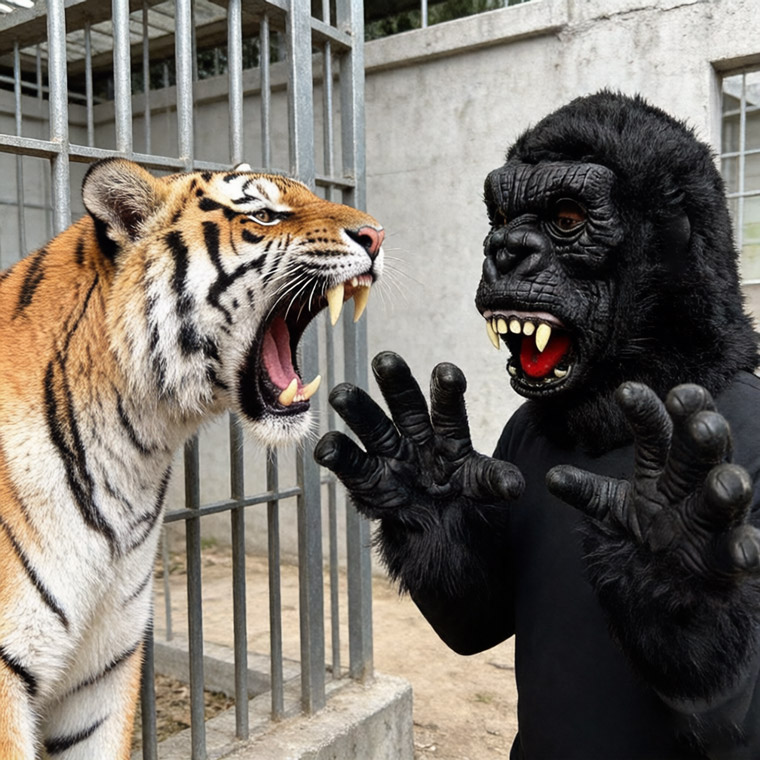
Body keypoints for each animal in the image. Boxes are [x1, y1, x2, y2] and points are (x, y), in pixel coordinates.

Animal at [314, 92, 760, 759]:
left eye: (567, 219)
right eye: (500, 217)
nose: (504, 249)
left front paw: (675, 565)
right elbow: (478, 615)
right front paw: (426, 490)